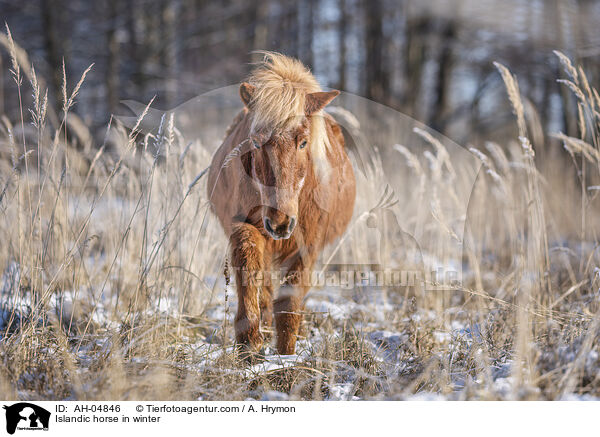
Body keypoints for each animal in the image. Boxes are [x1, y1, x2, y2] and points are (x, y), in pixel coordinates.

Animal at [207, 52, 356, 356]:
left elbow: (290, 303)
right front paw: (249, 342)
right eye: (255, 142)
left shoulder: (308, 243)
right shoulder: (244, 227)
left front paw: (286, 355)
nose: (280, 222)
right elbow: (250, 272)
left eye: (303, 142)